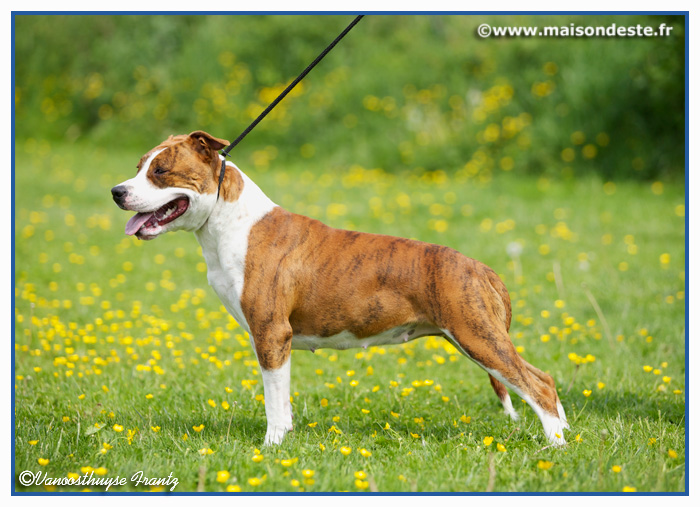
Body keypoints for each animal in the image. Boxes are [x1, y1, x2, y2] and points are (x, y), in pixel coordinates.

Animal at [111, 131, 569, 446]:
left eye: (160, 171)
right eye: (137, 167)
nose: (117, 191)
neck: (229, 220)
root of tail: (482, 268)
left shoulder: (271, 333)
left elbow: (273, 401)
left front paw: (270, 447)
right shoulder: (274, 339)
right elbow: (284, 400)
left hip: (477, 335)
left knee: (538, 386)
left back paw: (555, 446)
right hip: (476, 335)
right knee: (541, 377)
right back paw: (565, 432)